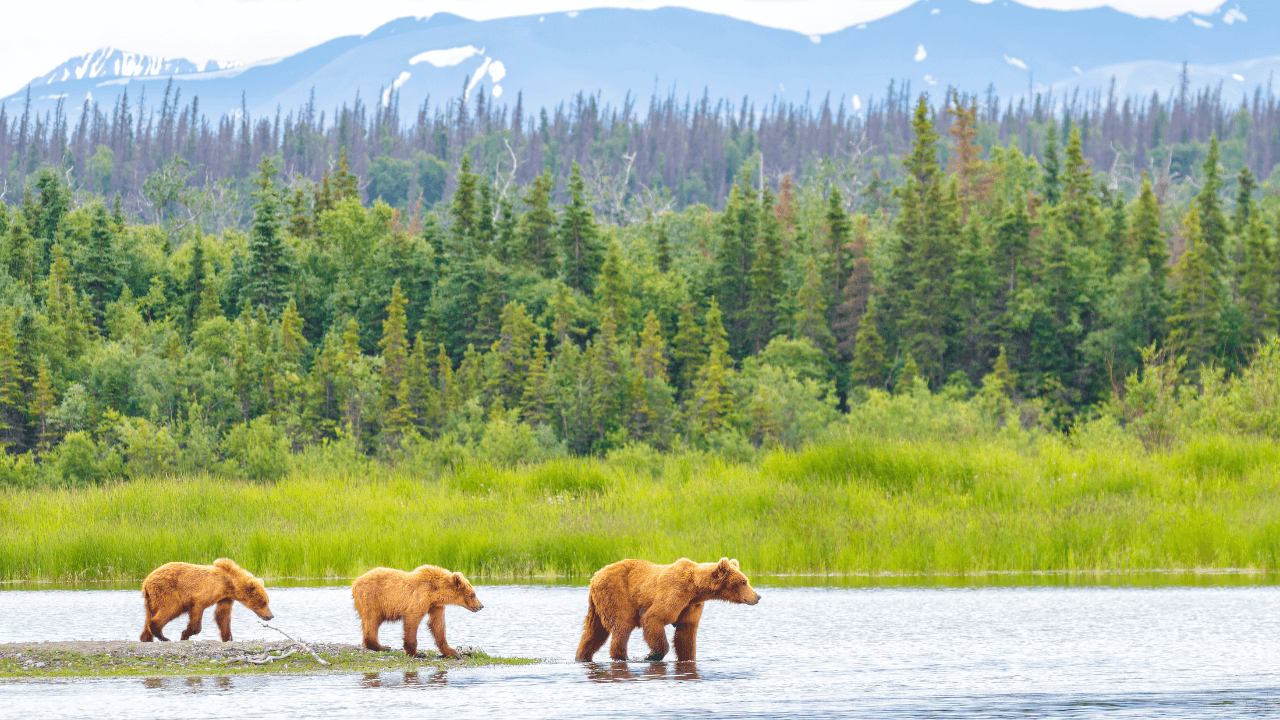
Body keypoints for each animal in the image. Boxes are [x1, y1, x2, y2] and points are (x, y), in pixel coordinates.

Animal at [138, 556, 271, 638]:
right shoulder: (203, 594)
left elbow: (222, 616)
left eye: (267, 601)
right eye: (264, 602)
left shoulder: (225, 598)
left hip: (150, 599)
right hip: (167, 590)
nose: (271, 616)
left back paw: (146, 637)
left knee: (149, 616)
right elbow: (197, 612)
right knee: (171, 608)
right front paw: (185, 634)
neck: (229, 584)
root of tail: (146, 581)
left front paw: (228, 637)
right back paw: (162, 636)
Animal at [350, 561, 483, 655]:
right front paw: (415, 652)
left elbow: (437, 624)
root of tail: (355, 582)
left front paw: (452, 652)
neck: (436, 591)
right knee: (372, 620)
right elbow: (413, 618)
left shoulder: (435, 605)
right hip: (372, 597)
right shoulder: (421, 595)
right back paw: (381, 646)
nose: (481, 605)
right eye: (473, 594)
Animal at [578, 556, 757, 661]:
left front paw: (688, 657)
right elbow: (654, 618)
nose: (757, 596)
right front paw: (652, 655)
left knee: (594, 631)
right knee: (622, 625)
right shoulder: (675, 592)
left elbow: (685, 633)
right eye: (743, 581)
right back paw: (622, 656)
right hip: (616, 594)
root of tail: (595, 576)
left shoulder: (690, 606)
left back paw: (582, 656)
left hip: (597, 604)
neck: (695, 589)